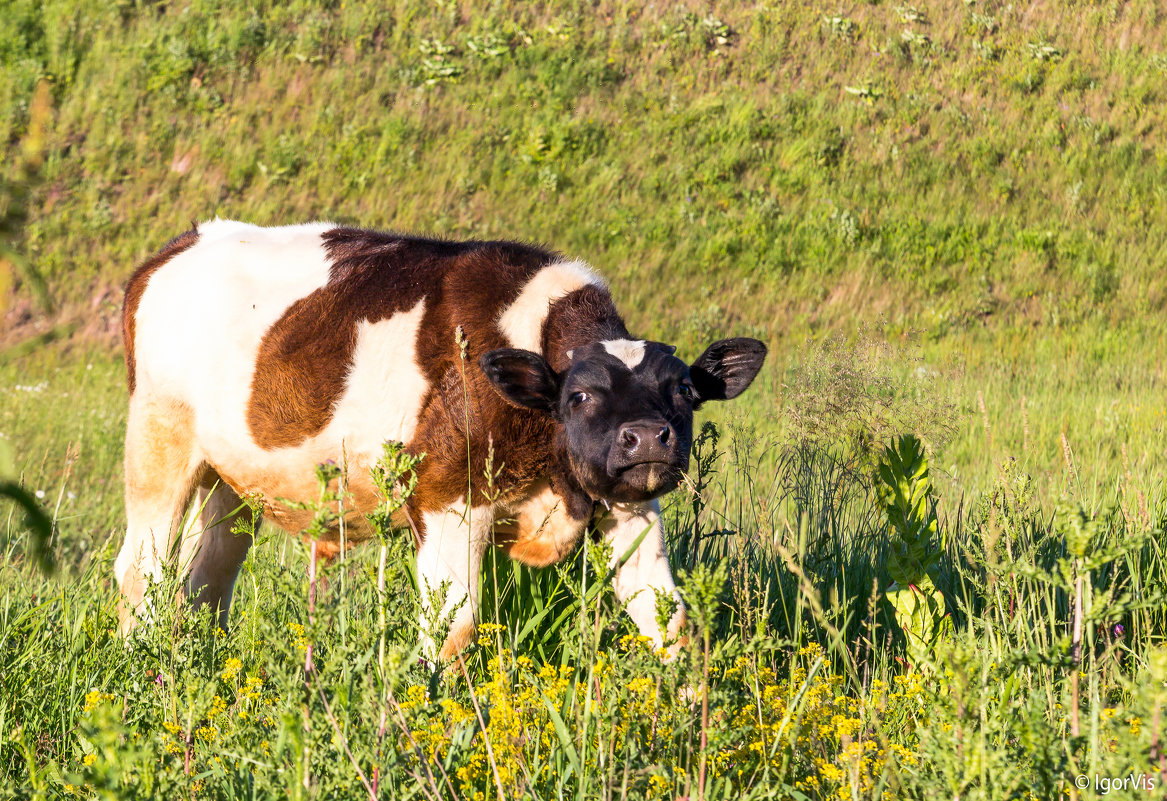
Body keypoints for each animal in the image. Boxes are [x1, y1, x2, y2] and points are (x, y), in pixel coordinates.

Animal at [113, 219, 760, 658]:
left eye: (684, 391)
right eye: (579, 396)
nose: (647, 438)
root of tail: (183, 245)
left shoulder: (628, 506)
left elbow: (668, 619)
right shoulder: (448, 498)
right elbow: (455, 627)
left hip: (231, 478)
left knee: (205, 577)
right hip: (159, 434)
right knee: (143, 568)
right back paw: (143, 668)